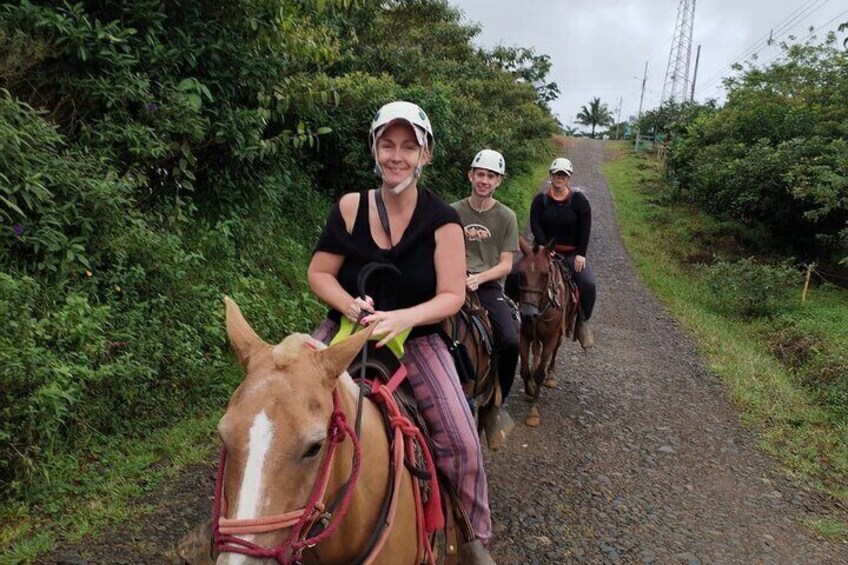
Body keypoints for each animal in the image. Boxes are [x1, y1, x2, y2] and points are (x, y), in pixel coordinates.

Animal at [512, 236, 572, 426]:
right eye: (520, 273)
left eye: (545, 274)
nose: (528, 314)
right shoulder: (524, 335)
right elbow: (524, 370)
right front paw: (529, 389)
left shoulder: (550, 338)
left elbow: (539, 373)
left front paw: (533, 413)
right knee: (536, 352)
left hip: (557, 335)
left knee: (553, 352)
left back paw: (551, 376)